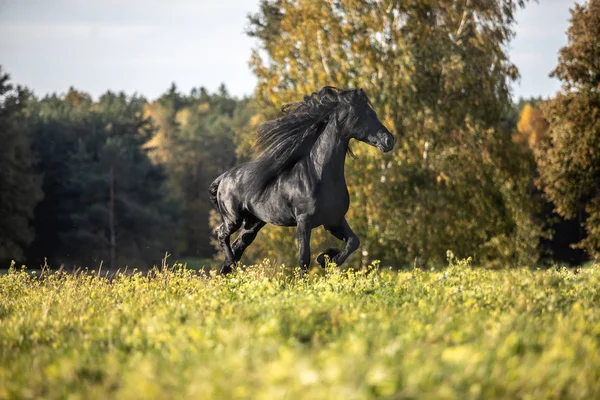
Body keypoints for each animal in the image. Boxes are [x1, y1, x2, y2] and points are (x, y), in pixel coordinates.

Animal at [210, 87, 394, 276]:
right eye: (367, 114)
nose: (389, 141)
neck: (318, 175)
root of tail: (223, 178)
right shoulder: (304, 221)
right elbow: (304, 259)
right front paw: (318, 265)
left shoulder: (334, 220)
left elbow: (353, 242)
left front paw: (328, 258)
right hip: (233, 218)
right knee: (222, 234)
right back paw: (231, 264)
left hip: (253, 223)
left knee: (238, 245)